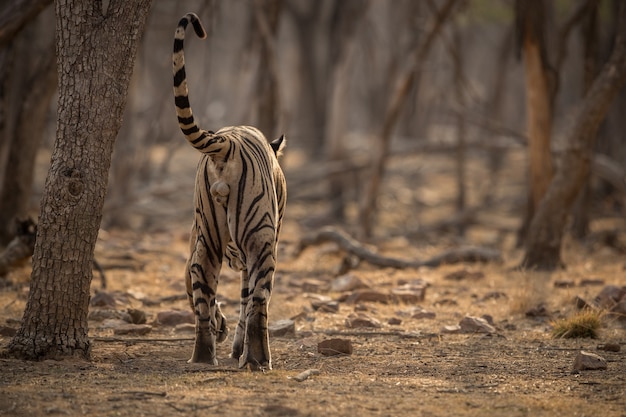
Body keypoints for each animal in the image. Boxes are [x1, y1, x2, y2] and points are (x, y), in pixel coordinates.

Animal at [172, 12, 286, 370]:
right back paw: (258, 359)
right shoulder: (254, 250)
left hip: (206, 240)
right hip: (261, 242)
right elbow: (248, 302)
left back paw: (203, 357)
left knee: (201, 292)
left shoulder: (197, 245)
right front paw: (240, 348)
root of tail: (226, 142)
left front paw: (223, 331)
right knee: (259, 302)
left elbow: (194, 290)